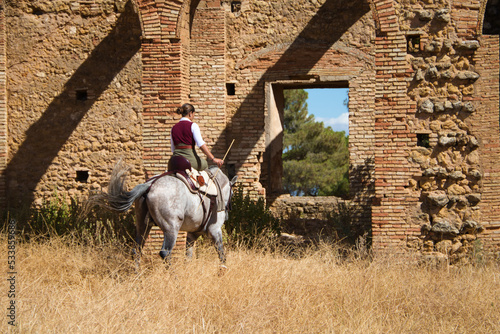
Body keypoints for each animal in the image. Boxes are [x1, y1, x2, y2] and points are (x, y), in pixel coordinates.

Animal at [91, 160, 237, 268]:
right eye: (232, 194)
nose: (227, 214)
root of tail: (150, 185)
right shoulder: (215, 230)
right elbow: (221, 253)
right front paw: (222, 271)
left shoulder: (192, 234)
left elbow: (188, 256)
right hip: (171, 229)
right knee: (165, 253)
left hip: (142, 226)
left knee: (137, 249)